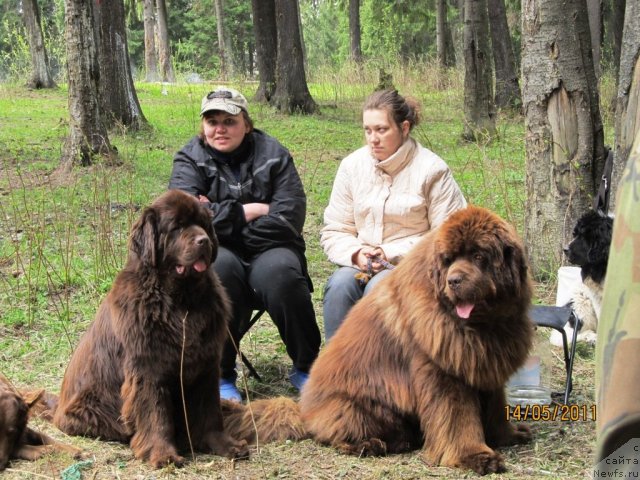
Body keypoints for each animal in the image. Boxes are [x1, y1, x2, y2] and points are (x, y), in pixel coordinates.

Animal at [52, 189, 249, 466]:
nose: (203, 241)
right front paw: (162, 453)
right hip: (94, 406)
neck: (181, 300)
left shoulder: (206, 364)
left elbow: (209, 410)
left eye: (203, 224)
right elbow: (155, 413)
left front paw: (224, 444)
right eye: (177, 227)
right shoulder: (148, 369)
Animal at [298, 204, 532, 474]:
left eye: (478, 256)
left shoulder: (486, 361)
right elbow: (458, 417)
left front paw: (508, 436)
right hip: (353, 405)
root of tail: (304, 411)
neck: (481, 324)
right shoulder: (444, 372)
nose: (453, 280)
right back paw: (369, 444)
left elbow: (496, 406)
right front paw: (474, 456)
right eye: (448, 260)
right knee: (339, 431)